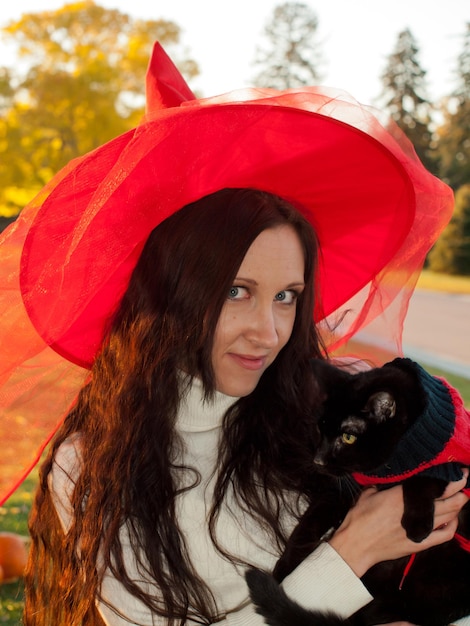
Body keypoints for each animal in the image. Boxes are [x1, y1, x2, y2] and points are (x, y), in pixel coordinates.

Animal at [246, 356, 470, 624]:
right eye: (321, 428)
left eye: (348, 437)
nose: (318, 460)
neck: (392, 463)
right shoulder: (342, 489)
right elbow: (307, 525)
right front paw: (284, 570)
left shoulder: (452, 469)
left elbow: (422, 479)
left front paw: (417, 527)